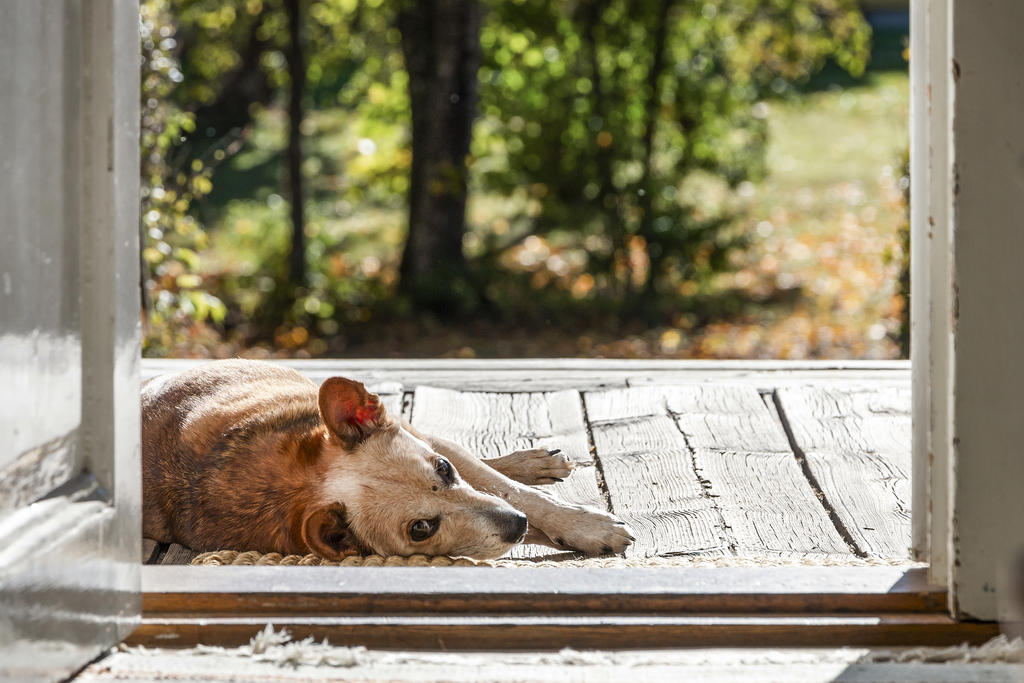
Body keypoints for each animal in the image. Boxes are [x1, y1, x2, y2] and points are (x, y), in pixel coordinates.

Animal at [136, 360, 630, 557]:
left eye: (442, 470)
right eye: (421, 529)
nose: (516, 528)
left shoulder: (439, 450)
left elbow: (515, 494)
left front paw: (586, 526)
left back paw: (532, 464)